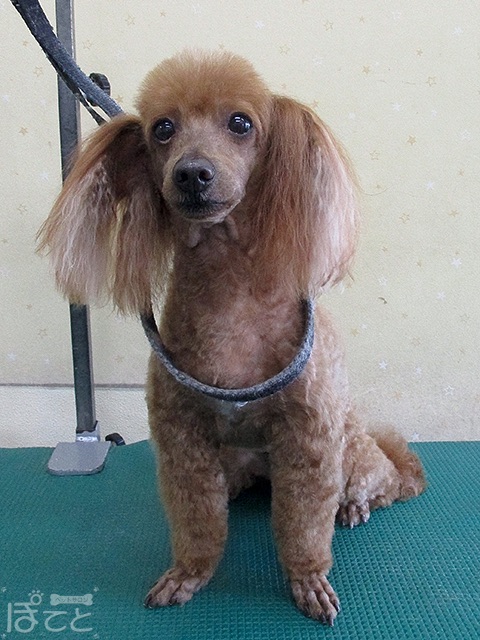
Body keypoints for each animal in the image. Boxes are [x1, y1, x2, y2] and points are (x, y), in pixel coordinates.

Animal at [38, 50, 426, 625]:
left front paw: (308, 580)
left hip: (352, 455)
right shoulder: (182, 436)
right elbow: (196, 514)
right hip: (233, 459)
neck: (231, 302)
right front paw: (189, 574)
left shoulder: (310, 440)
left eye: (241, 123)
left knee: (381, 486)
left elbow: (305, 523)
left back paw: (355, 506)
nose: (191, 173)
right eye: (163, 129)